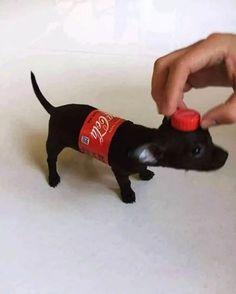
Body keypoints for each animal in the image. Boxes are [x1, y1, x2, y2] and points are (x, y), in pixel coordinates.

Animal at [31, 72, 229, 203]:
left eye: (210, 137)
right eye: (196, 150)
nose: (227, 155)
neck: (149, 137)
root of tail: (55, 109)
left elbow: (143, 167)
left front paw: (144, 173)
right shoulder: (118, 170)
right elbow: (125, 182)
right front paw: (128, 195)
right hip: (54, 142)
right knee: (51, 159)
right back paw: (53, 177)